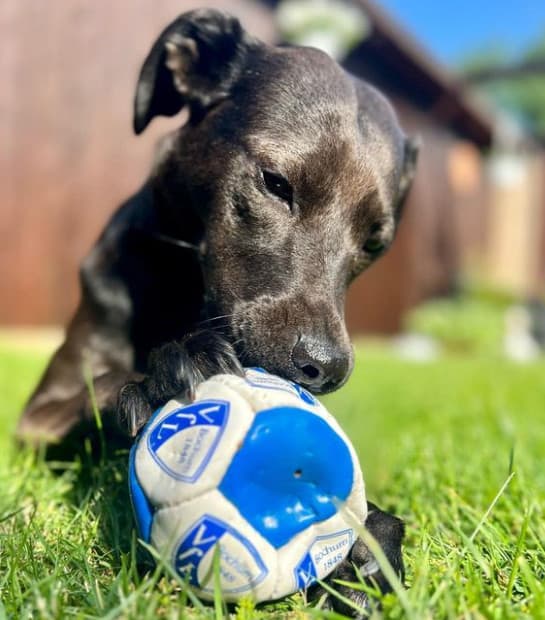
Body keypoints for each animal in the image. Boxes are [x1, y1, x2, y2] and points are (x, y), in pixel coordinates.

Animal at [18, 9, 416, 616]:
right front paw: (163, 373)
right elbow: (100, 383)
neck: (186, 294)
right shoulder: (35, 418)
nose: (325, 369)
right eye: (276, 183)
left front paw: (369, 539)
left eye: (375, 242)